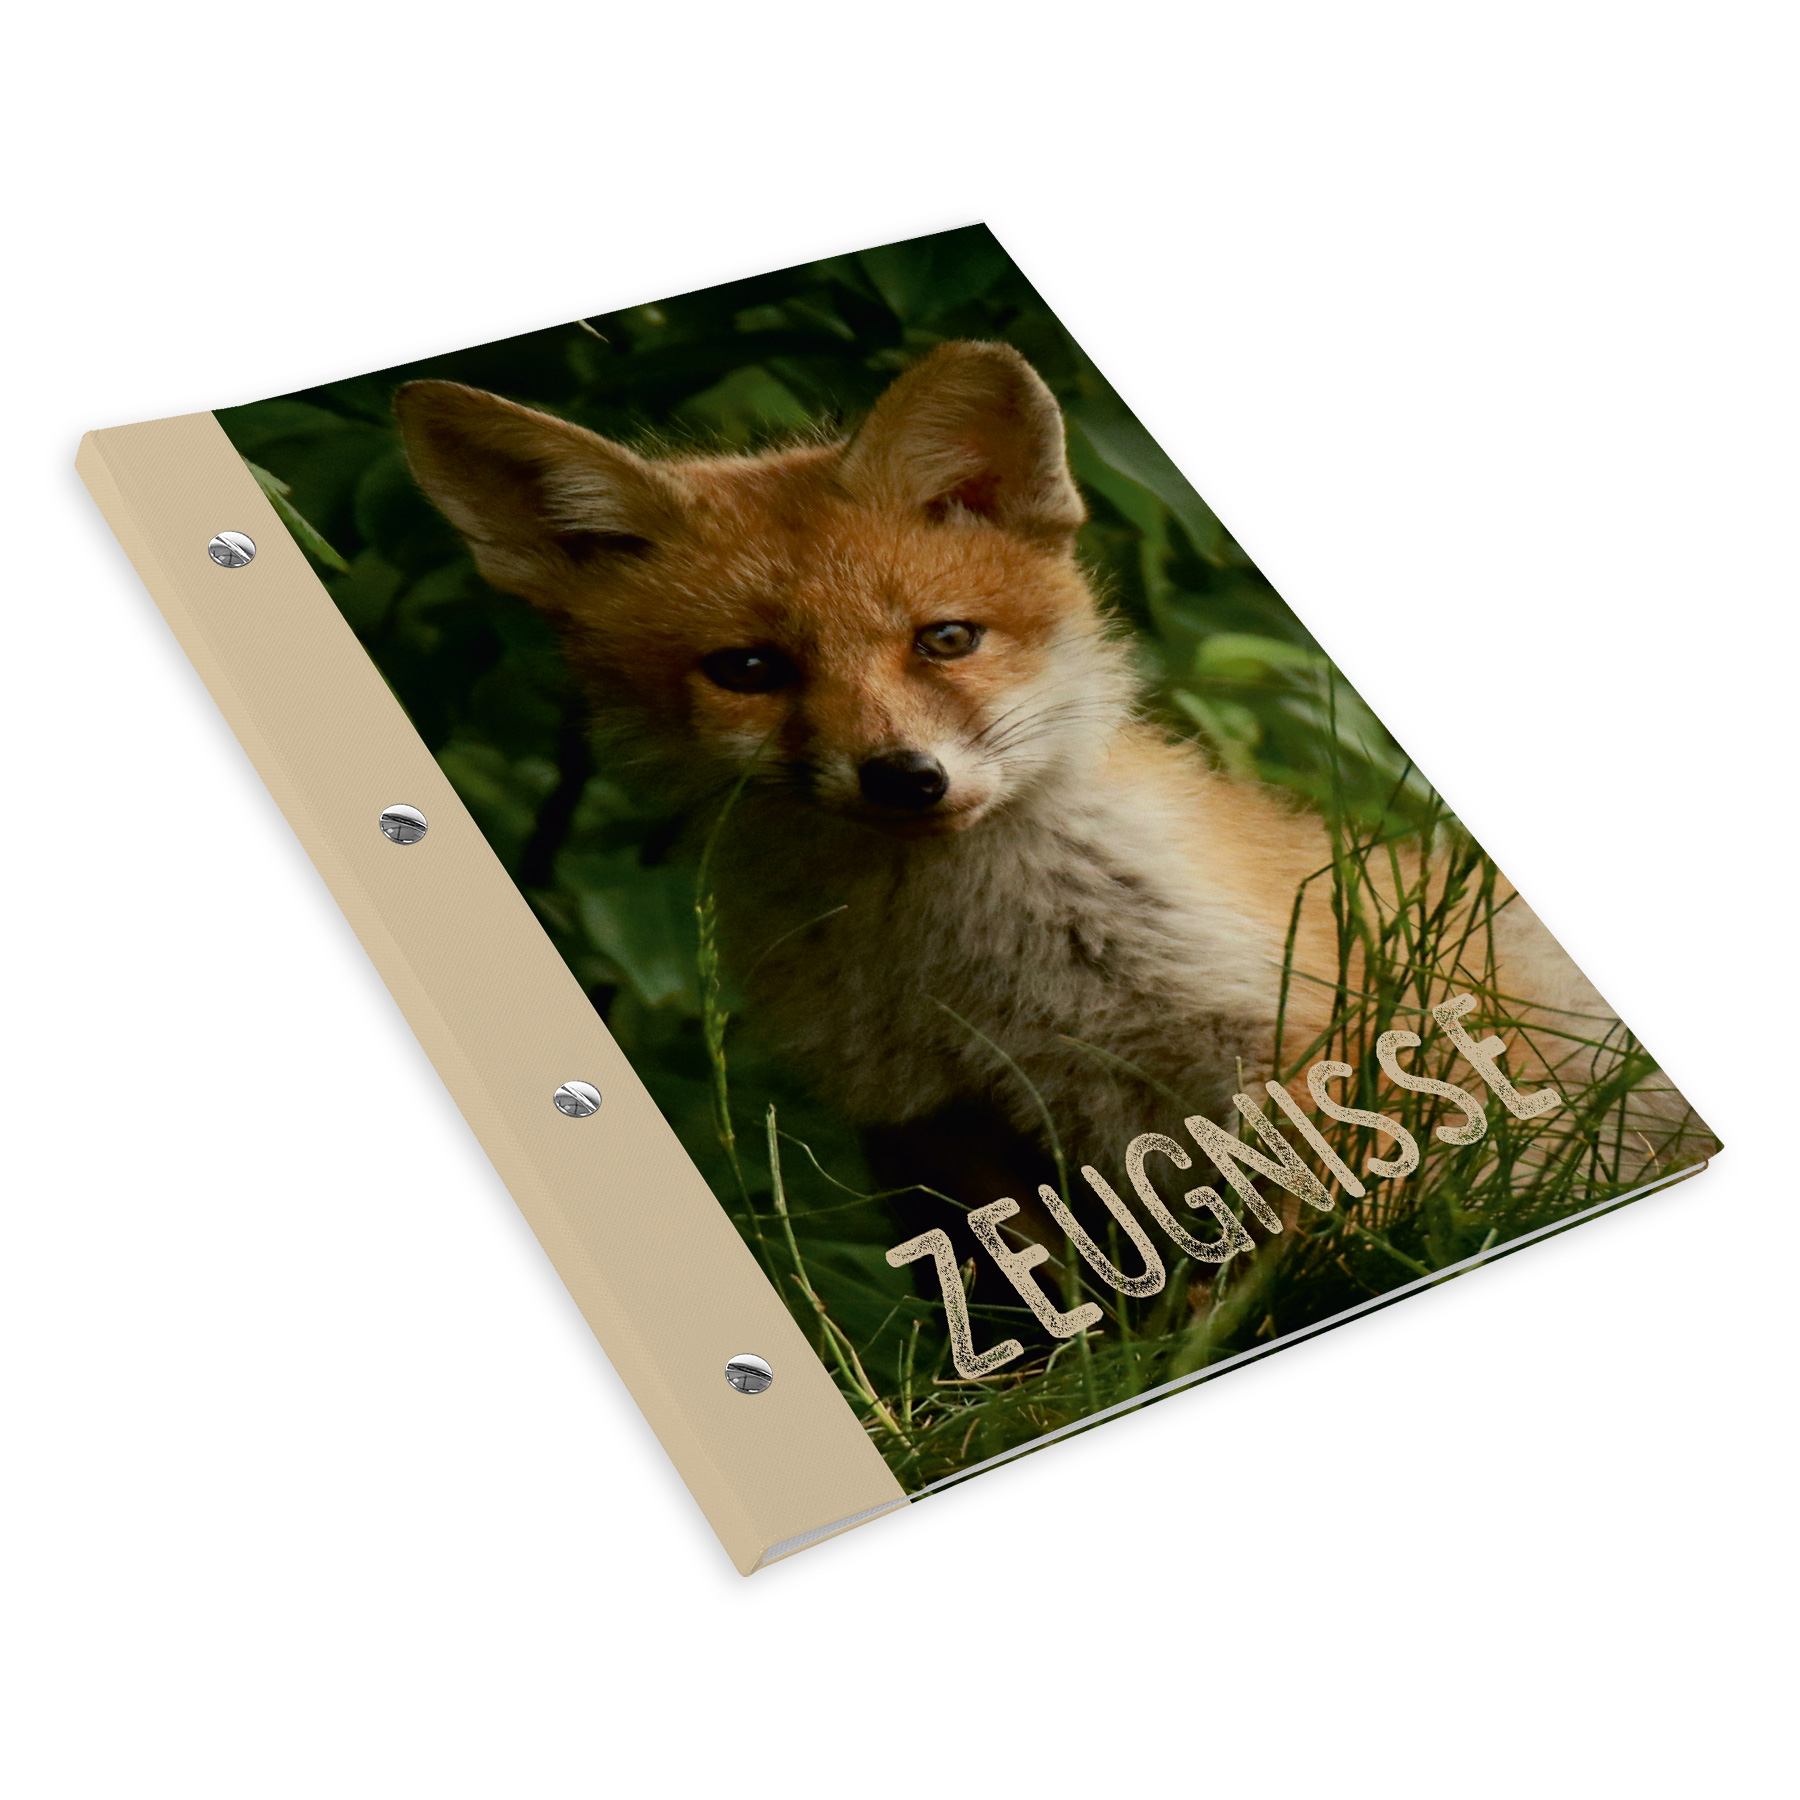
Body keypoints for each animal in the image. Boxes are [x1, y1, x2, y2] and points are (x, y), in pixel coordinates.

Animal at [394, 342, 1671, 1227]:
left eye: (946, 640)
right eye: (749, 671)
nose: (904, 780)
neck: (962, 970)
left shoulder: (1304, 1034)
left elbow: (1340, 1225)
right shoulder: (928, 1121)